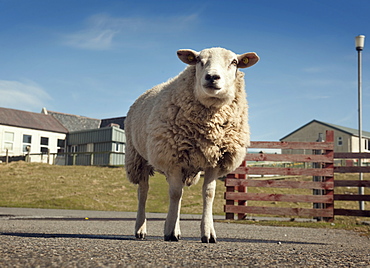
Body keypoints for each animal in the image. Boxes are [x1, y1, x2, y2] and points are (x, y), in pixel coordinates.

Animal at [125, 46, 258, 243]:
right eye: (198, 60)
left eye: (234, 62)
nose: (212, 77)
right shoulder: (172, 158)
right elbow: (174, 194)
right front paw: (170, 232)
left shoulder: (215, 161)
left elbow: (208, 194)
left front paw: (208, 232)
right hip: (138, 158)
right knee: (143, 192)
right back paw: (140, 229)